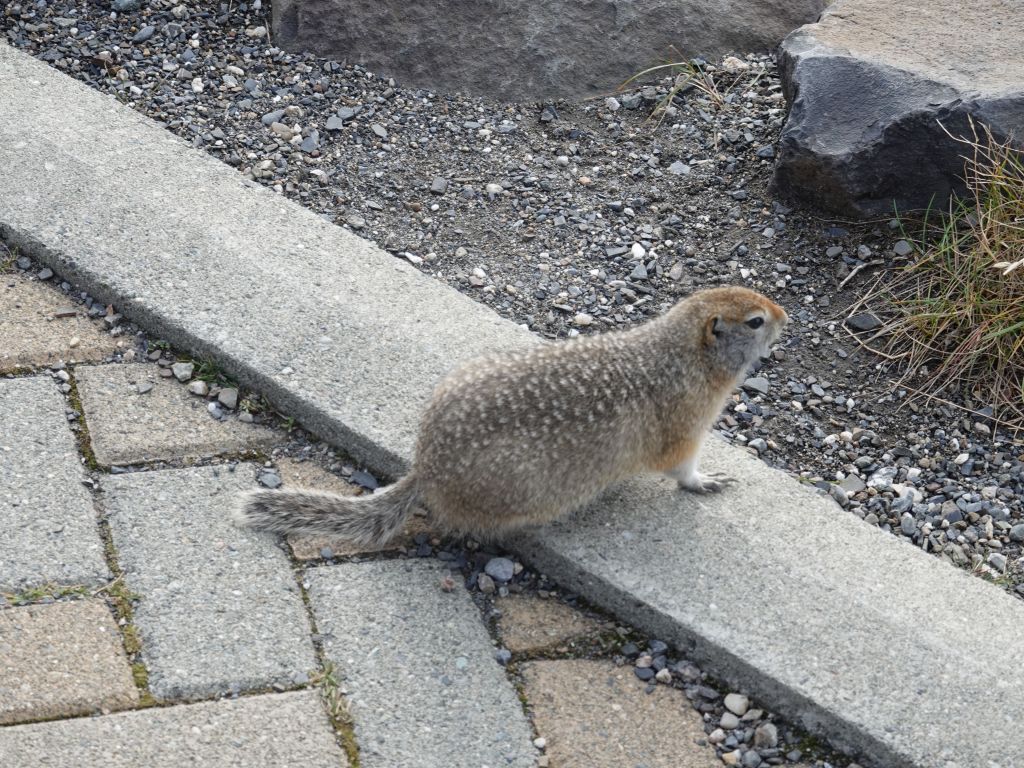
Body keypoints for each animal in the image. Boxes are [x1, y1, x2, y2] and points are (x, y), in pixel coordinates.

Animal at [235, 286, 786, 544]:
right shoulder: (686, 425)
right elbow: (681, 467)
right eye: (755, 321)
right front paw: (707, 481)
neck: (678, 353)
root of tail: (426, 468)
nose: (787, 315)